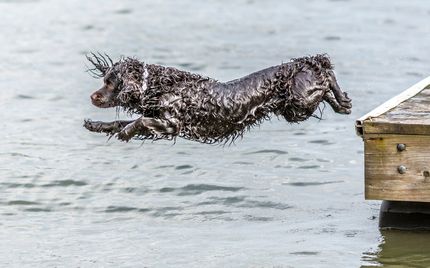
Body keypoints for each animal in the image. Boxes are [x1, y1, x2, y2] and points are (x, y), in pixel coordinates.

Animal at [83, 53, 350, 143]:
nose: (92, 96)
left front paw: (125, 132)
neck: (157, 85)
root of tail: (302, 63)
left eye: (109, 82)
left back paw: (343, 101)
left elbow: (139, 121)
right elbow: (120, 122)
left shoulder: (171, 124)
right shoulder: (159, 123)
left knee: (327, 76)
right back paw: (344, 103)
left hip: (299, 103)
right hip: (296, 107)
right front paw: (96, 125)